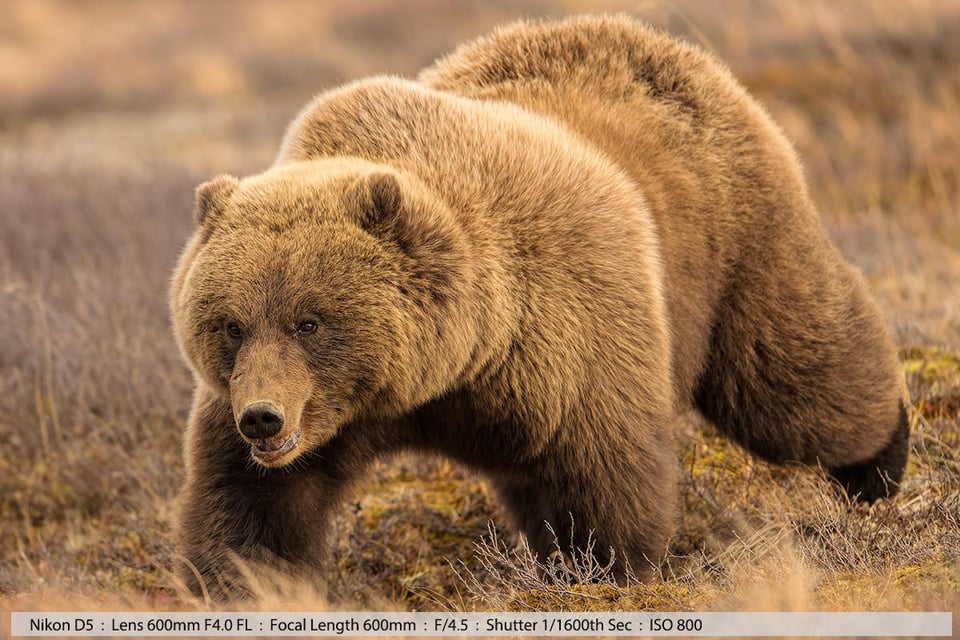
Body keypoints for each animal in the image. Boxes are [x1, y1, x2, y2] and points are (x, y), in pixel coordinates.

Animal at [169, 15, 912, 596]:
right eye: (231, 325)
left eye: (310, 321)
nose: (263, 418)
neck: (446, 369)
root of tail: (661, 43)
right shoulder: (323, 417)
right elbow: (254, 509)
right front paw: (245, 583)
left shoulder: (566, 333)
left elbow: (601, 475)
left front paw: (605, 570)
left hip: (733, 240)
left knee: (791, 379)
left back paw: (880, 463)